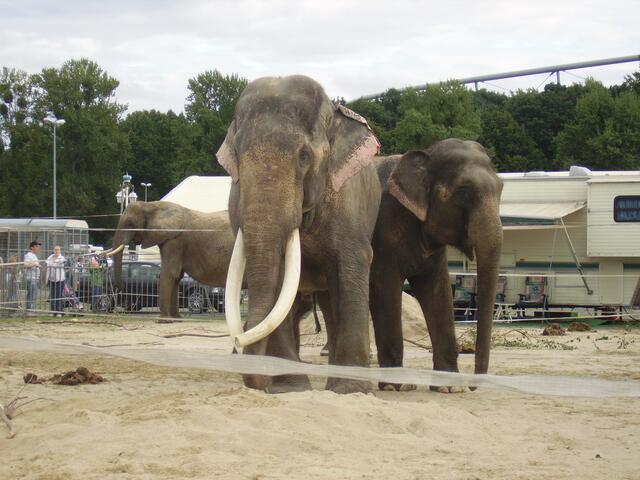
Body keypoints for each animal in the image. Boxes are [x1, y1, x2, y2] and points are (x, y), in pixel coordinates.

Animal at [217, 75, 382, 393]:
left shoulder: (349, 201)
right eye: (237, 156)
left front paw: (352, 391)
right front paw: (290, 389)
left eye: (304, 156)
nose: (239, 341)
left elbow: (352, 264)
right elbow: (278, 277)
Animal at [369, 139, 503, 392]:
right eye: (462, 193)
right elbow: (384, 290)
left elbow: (438, 293)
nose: (473, 387)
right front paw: (398, 386)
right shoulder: (383, 232)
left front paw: (450, 387)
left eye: (501, 188)